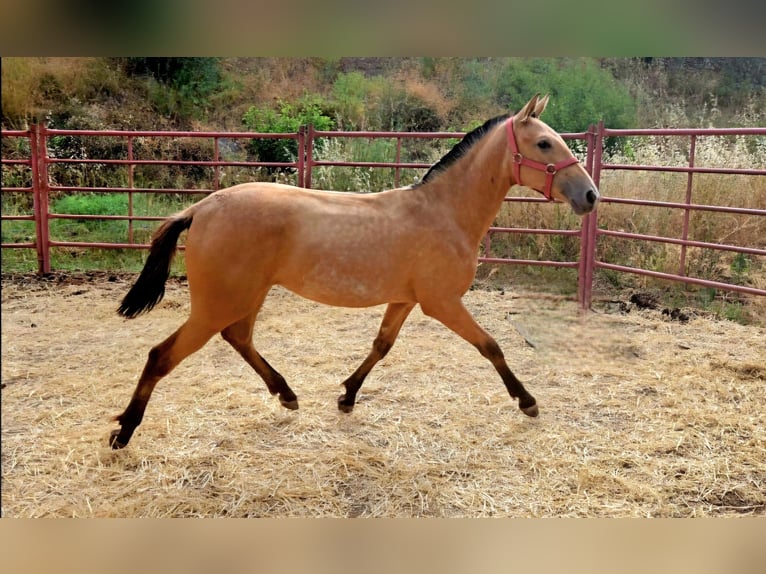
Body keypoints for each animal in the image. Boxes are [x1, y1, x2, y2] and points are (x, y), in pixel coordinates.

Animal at [109, 94, 599, 449]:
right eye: (543, 143)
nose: (590, 195)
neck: (444, 212)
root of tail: (200, 208)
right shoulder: (442, 303)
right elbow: (491, 346)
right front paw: (528, 402)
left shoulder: (404, 300)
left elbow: (380, 346)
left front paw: (346, 396)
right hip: (218, 303)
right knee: (162, 355)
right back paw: (124, 431)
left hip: (244, 297)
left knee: (239, 338)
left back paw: (287, 395)